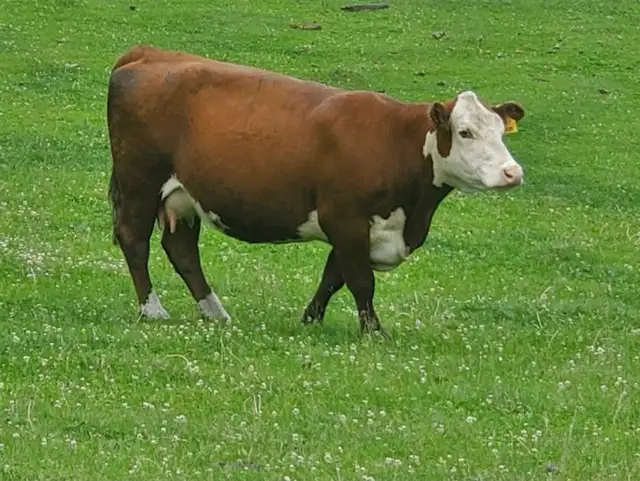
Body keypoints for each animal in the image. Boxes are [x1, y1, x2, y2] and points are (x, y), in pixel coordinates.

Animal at [106, 45, 526, 338]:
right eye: (465, 132)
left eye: (500, 131)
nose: (512, 173)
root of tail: (148, 53)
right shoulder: (345, 217)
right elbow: (360, 280)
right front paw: (374, 332)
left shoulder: (354, 227)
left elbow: (333, 276)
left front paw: (310, 319)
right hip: (141, 182)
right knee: (135, 239)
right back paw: (152, 309)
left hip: (183, 196)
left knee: (182, 250)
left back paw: (215, 311)